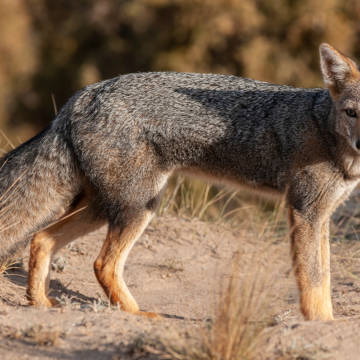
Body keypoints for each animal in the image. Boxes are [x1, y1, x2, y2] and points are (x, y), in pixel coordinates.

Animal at [0, 42, 360, 320]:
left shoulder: (322, 216)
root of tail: (81, 96)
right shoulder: (305, 212)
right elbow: (313, 280)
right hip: (138, 206)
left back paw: (39, 302)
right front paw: (320, 324)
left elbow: (325, 277)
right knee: (103, 263)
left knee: (42, 239)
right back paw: (138, 314)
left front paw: (326, 321)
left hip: (102, 207)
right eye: (352, 113)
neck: (326, 131)